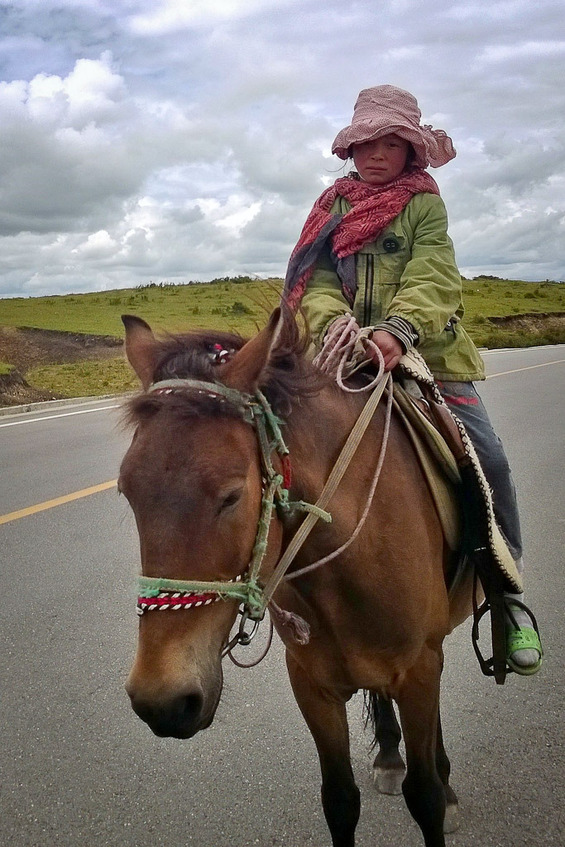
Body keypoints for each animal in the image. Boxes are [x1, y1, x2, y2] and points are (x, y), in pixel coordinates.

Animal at [118, 306, 476, 847]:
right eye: (126, 491)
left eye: (232, 495)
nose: (163, 701)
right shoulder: (311, 682)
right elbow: (340, 799)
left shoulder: (418, 669)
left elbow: (426, 795)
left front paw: (441, 789)